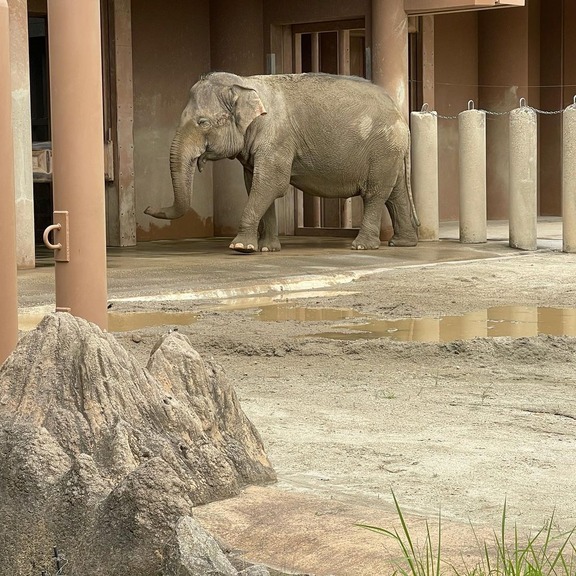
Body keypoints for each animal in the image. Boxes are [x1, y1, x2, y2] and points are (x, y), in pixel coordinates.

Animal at [145, 72, 418, 252]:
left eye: (203, 122)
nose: (147, 208)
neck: (245, 84)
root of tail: (401, 116)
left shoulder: (276, 138)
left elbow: (270, 184)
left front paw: (241, 247)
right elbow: (254, 185)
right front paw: (267, 249)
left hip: (383, 150)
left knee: (375, 194)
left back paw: (362, 247)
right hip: (390, 154)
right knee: (395, 194)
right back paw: (402, 243)